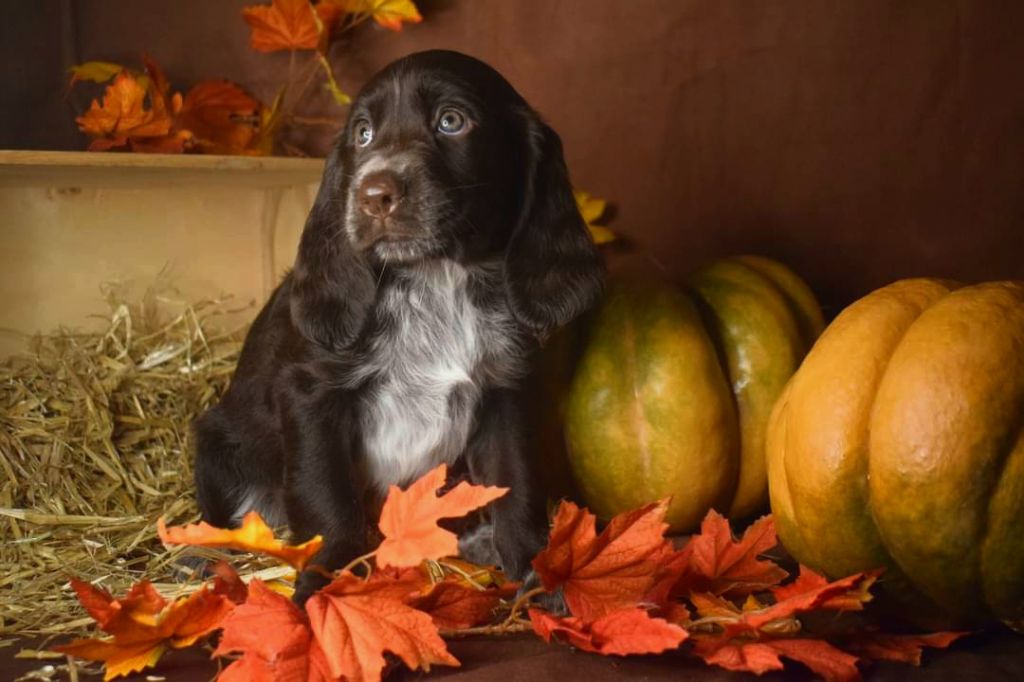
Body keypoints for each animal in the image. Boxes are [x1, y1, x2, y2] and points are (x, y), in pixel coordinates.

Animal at [193, 49, 598, 602]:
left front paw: (538, 574)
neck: (435, 278)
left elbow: (516, 485)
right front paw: (323, 585)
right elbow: (328, 500)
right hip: (217, 442)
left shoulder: (503, 393)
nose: (372, 195)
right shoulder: (311, 395)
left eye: (451, 121)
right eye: (362, 133)